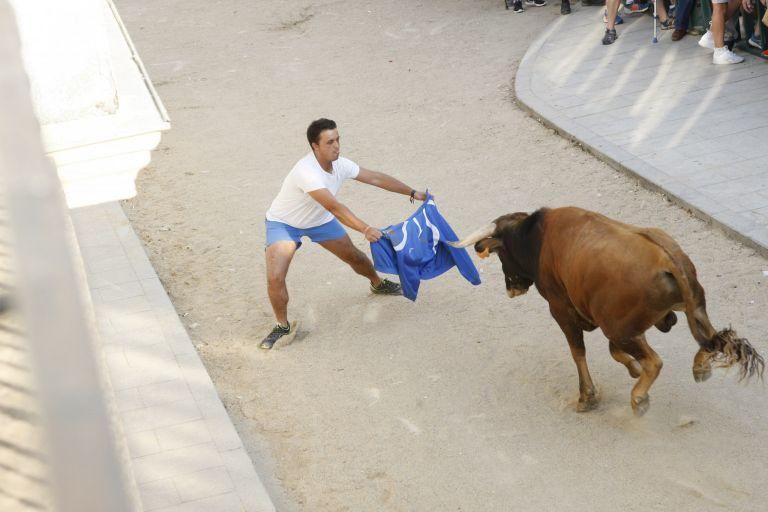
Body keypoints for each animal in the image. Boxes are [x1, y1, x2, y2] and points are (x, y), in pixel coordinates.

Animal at [450, 206, 760, 414]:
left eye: (502, 254)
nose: (510, 289)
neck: (537, 238)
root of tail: (668, 260)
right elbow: (613, 352)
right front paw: (632, 369)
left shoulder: (561, 310)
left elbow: (578, 352)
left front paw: (587, 397)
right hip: (690, 309)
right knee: (713, 338)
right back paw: (699, 367)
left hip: (619, 327)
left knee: (656, 361)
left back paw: (639, 398)